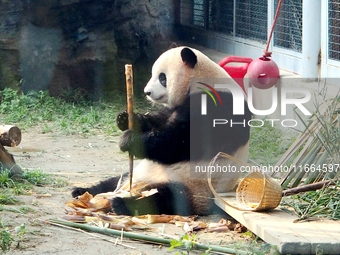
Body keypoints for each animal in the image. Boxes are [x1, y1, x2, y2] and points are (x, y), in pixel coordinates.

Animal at [71, 46, 251, 215]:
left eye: (162, 77)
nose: (147, 92)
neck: (203, 79)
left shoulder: (217, 106)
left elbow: (179, 143)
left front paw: (129, 139)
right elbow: (160, 122)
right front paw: (127, 119)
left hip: (194, 188)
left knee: (164, 196)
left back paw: (122, 203)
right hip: (137, 174)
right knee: (114, 181)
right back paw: (82, 192)